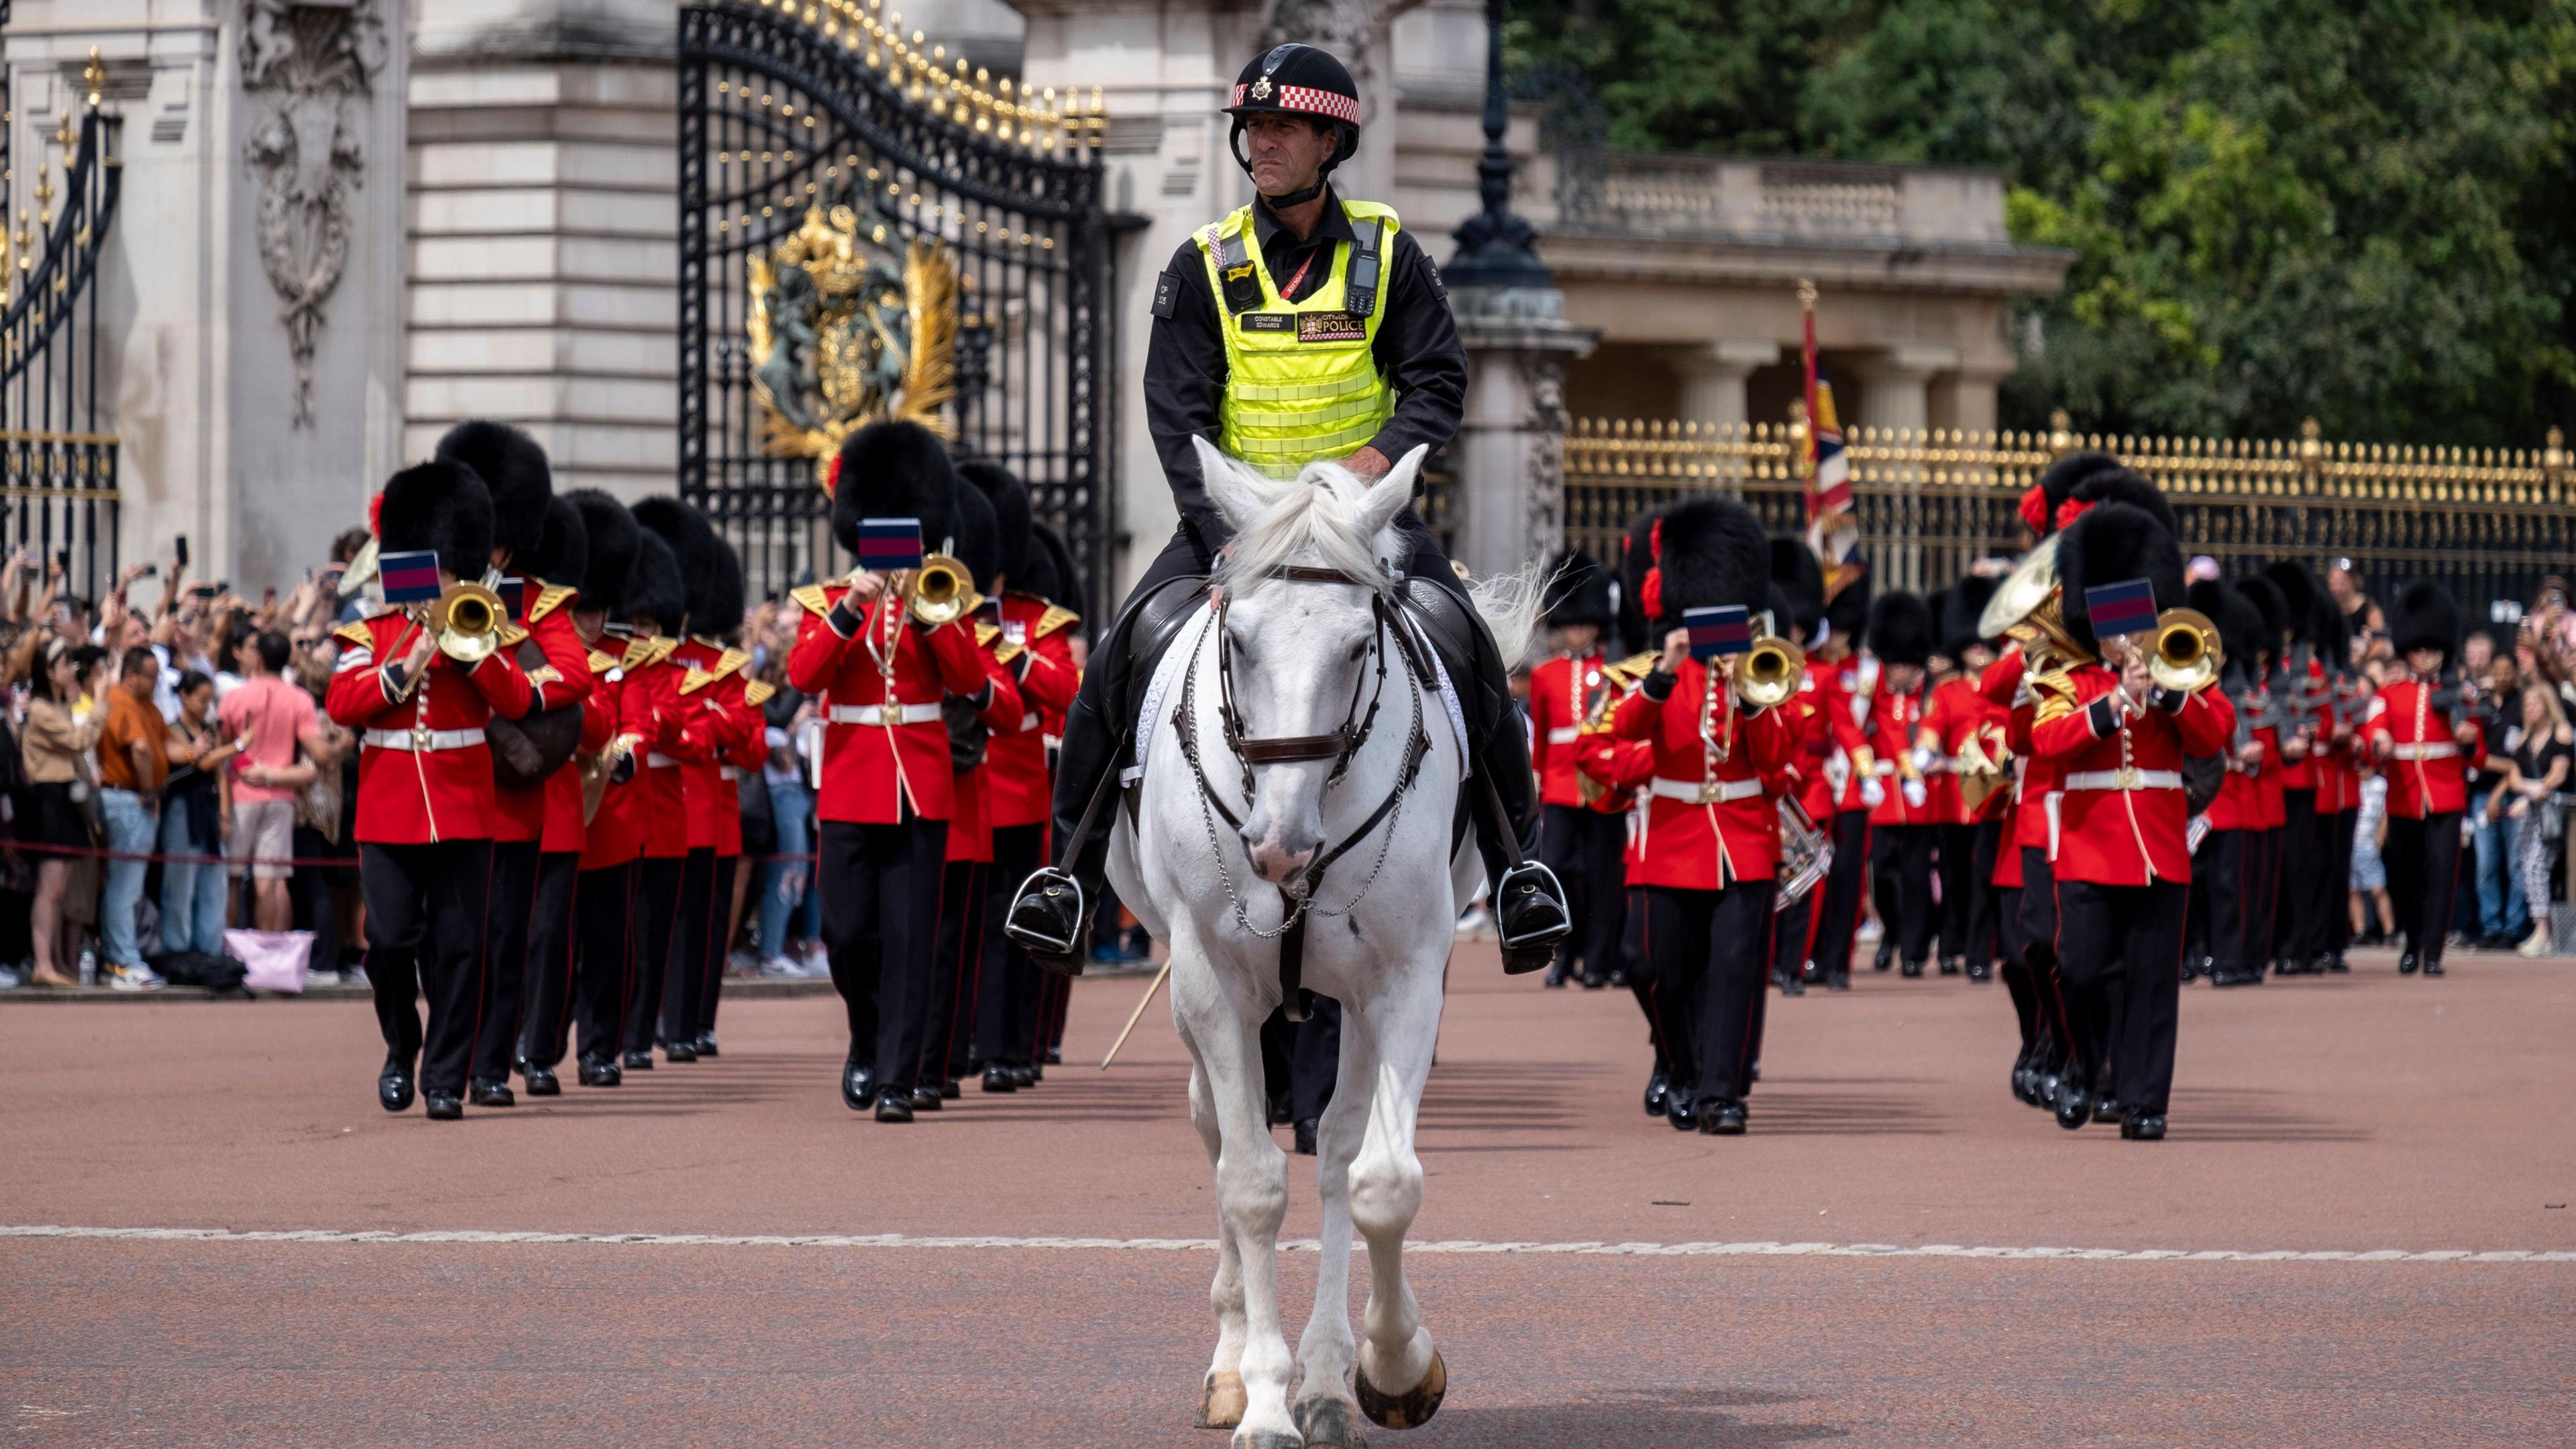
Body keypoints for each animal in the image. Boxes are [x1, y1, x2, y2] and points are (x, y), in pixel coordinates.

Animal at [1102, 441, 1525, 1444]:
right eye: (1238, 642)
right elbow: (1251, 1185)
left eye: (1360, 645)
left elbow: (1379, 1182)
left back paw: (1331, 1378)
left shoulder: (1403, 983)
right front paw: (1262, 1399)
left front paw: (1391, 1365)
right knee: (1220, 1134)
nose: (1282, 845)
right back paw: (1232, 1367)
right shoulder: (1212, 983)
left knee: (1334, 1151)